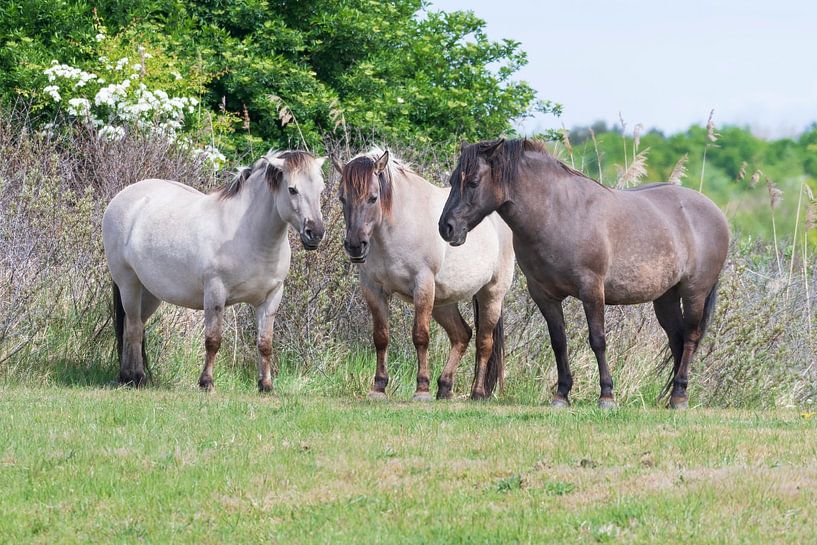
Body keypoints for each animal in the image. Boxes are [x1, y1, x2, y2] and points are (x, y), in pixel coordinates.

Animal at [102, 149, 327, 391]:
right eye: (292, 189)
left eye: (321, 189)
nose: (315, 233)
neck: (249, 235)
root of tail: (123, 197)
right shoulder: (215, 292)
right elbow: (213, 340)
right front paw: (206, 382)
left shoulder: (271, 297)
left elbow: (265, 343)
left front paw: (265, 385)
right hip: (128, 284)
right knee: (133, 328)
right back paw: (136, 377)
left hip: (150, 292)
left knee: (133, 326)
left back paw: (129, 376)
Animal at [333, 147, 515, 401]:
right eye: (342, 198)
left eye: (373, 197)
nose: (355, 246)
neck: (396, 228)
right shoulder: (373, 289)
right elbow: (381, 337)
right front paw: (379, 387)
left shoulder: (423, 286)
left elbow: (420, 337)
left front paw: (422, 389)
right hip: (443, 303)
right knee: (462, 335)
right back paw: (445, 387)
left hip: (491, 295)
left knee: (484, 342)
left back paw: (477, 393)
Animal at [439, 138, 729, 409]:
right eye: (453, 180)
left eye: (473, 182)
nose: (446, 227)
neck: (556, 214)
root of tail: (715, 211)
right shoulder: (544, 295)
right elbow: (559, 342)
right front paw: (561, 394)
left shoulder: (591, 290)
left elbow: (598, 340)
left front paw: (607, 395)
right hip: (666, 298)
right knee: (676, 340)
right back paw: (673, 398)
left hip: (694, 293)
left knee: (690, 338)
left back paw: (679, 396)